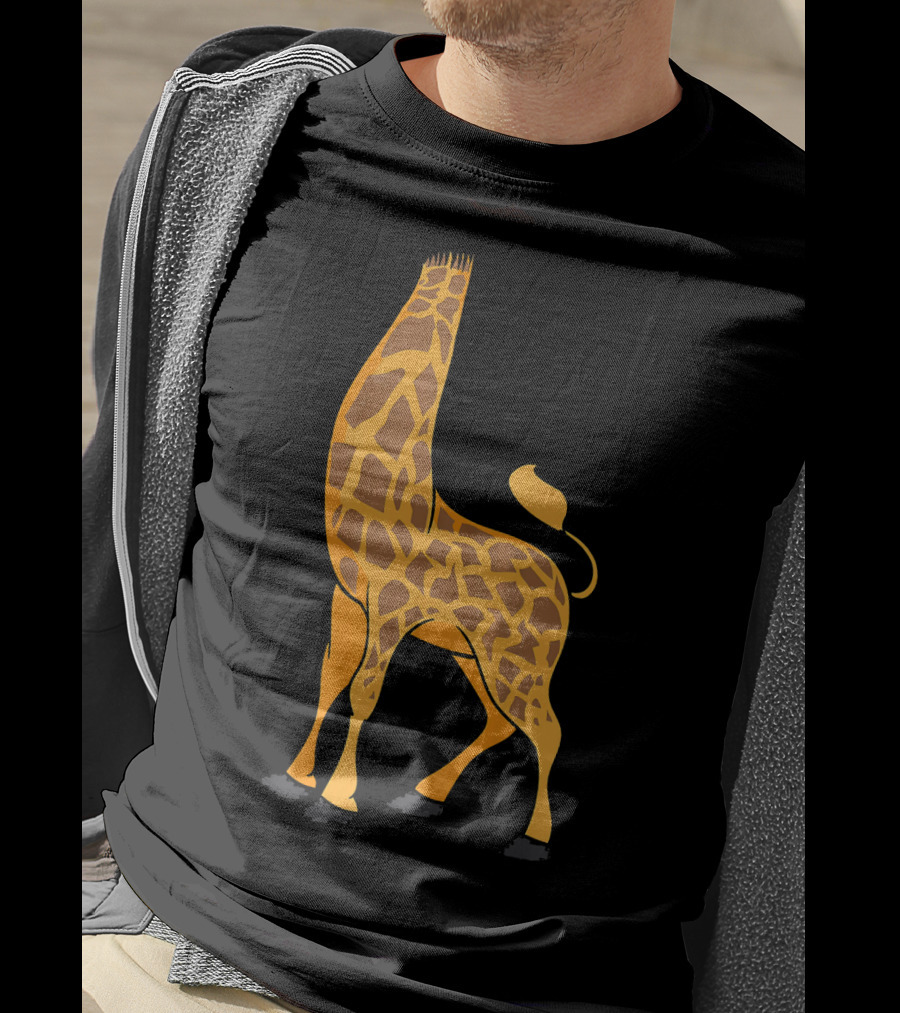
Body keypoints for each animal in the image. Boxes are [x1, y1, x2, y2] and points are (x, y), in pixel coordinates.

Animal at [286, 253, 597, 844]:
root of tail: (567, 588)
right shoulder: (349, 594)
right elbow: (330, 676)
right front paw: (299, 773)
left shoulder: (392, 606)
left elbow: (365, 693)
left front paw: (341, 795)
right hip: (472, 653)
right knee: (501, 722)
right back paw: (429, 789)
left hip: (520, 666)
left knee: (548, 730)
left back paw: (536, 832)